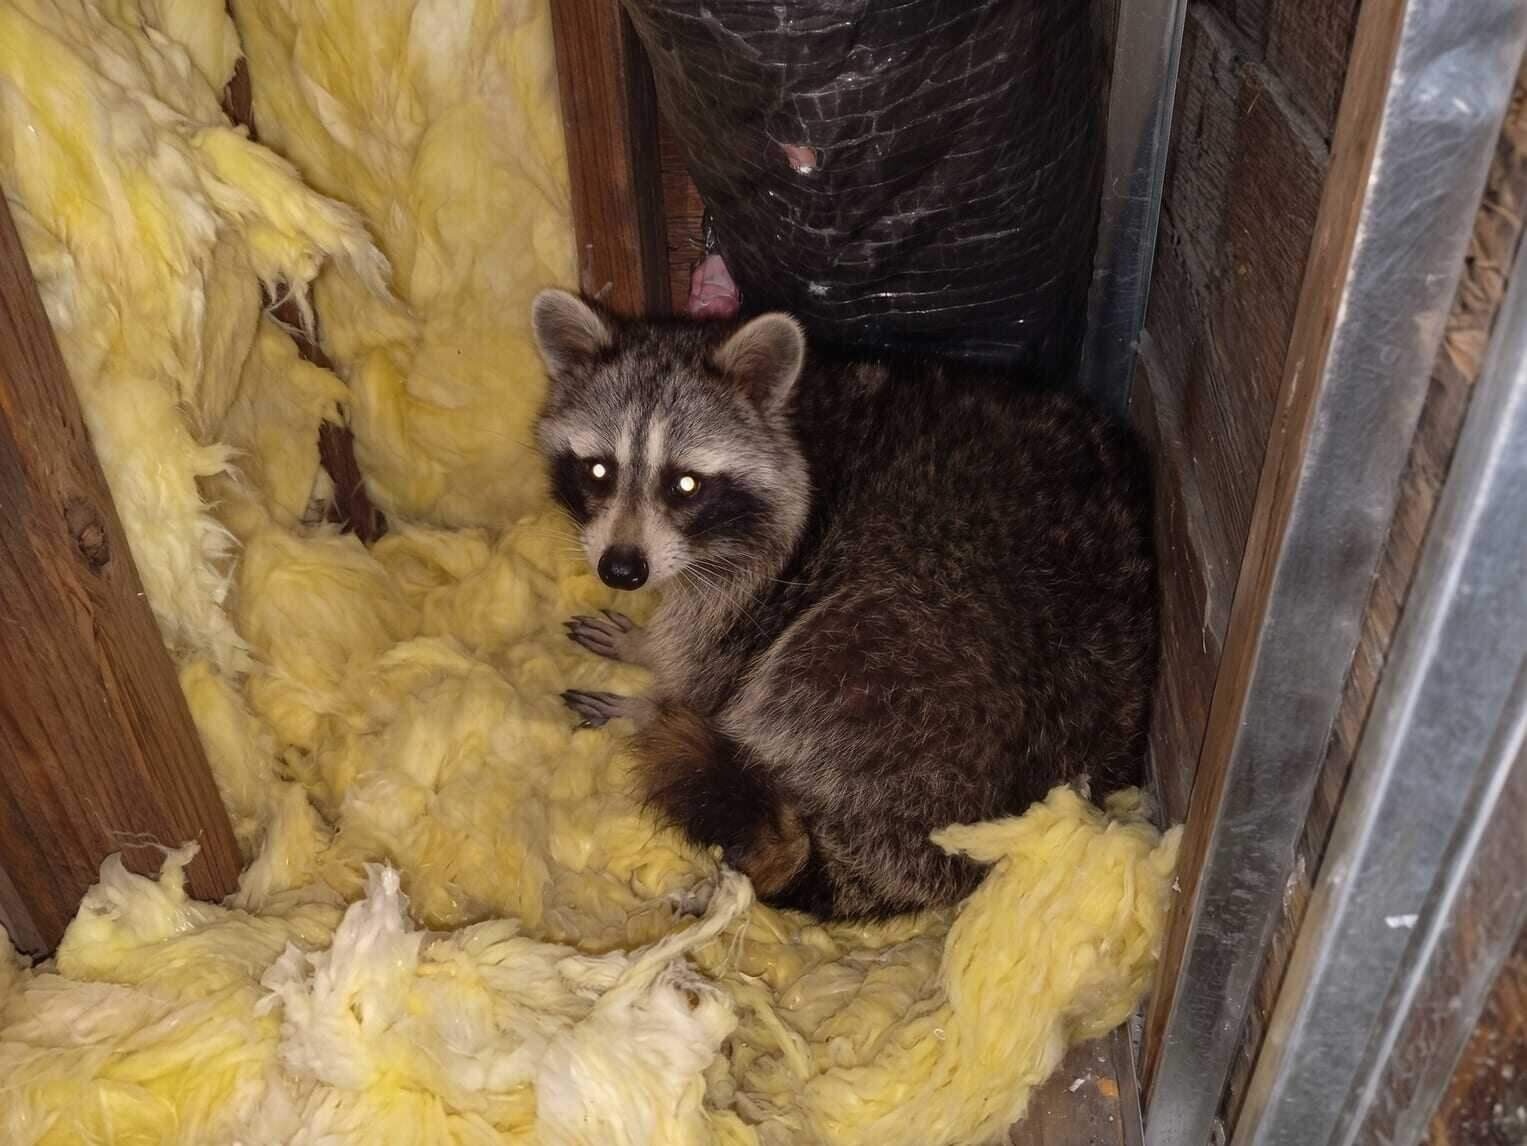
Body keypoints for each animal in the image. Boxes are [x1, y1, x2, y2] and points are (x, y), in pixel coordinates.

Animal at [530, 289, 1156, 919]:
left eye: (685, 484)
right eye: (598, 470)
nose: (621, 570)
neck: (795, 415)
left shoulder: (780, 566)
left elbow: (709, 658)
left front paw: (655, 677)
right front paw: (644, 639)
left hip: (898, 650)